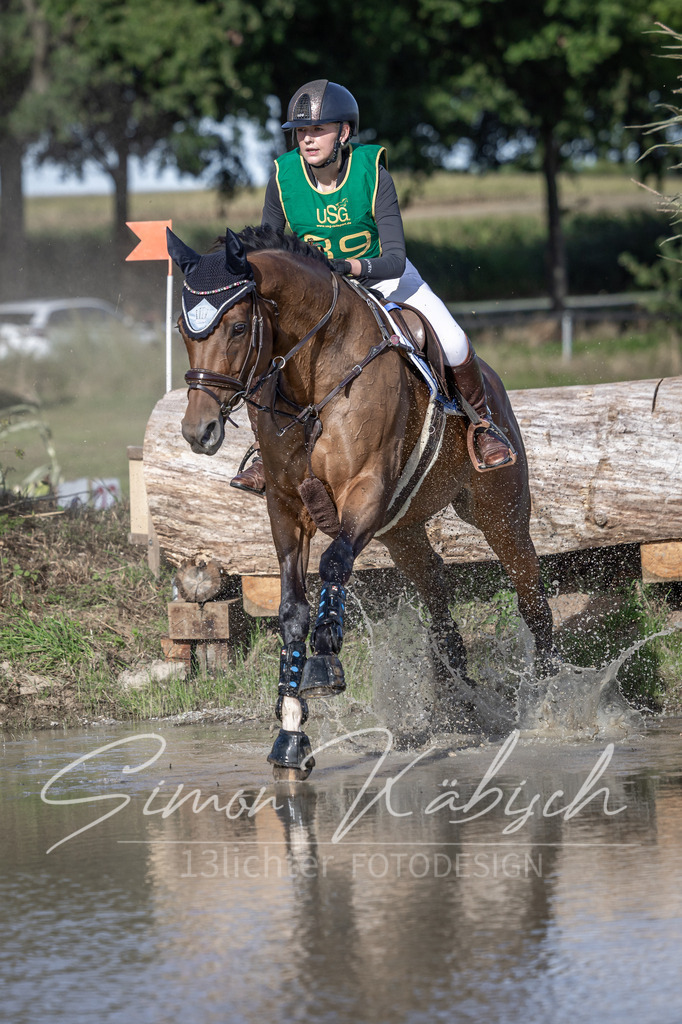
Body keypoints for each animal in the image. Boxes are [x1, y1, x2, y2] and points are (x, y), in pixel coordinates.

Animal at [168, 225, 557, 780]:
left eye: (239, 327)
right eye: (184, 329)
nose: (197, 431)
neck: (312, 378)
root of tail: (497, 388)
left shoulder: (368, 489)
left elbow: (334, 564)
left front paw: (325, 661)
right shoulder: (286, 509)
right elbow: (292, 610)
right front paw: (291, 734)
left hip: (499, 513)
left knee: (530, 597)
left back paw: (546, 697)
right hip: (402, 531)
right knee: (436, 592)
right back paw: (455, 697)